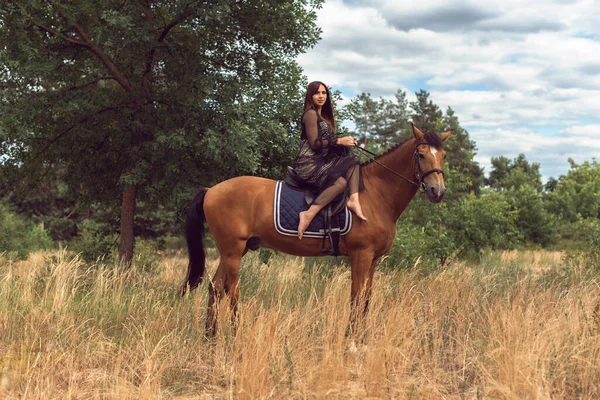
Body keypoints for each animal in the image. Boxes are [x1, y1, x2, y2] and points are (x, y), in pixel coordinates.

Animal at [183, 124, 450, 334]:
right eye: (421, 154)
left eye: (443, 155)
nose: (437, 191)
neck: (375, 193)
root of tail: (211, 190)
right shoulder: (361, 255)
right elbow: (356, 298)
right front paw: (351, 339)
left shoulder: (373, 260)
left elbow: (366, 299)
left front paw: (362, 337)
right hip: (233, 252)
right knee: (232, 292)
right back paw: (235, 334)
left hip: (232, 251)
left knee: (215, 288)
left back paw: (211, 337)